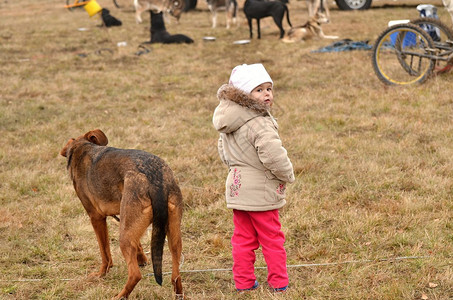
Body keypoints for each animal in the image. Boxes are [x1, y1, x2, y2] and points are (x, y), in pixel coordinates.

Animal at [60, 129, 184, 300]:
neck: (83, 147)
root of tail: (155, 180)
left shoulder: (96, 218)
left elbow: (105, 252)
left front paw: (102, 273)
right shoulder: (124, 216)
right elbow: (138, 244)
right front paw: (141, 259)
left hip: (124, 237)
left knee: (135, 274)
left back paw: (120, 296)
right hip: (172, 234)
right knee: (175, 275)